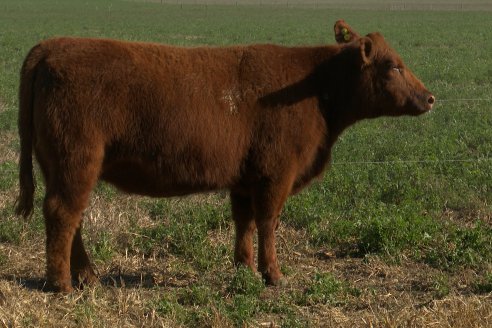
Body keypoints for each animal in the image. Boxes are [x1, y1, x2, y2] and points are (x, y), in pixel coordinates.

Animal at [15, 20, 434, 292]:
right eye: (393, 66)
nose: (430, 97)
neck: (315, 88)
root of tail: (51, 46)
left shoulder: (245, 178)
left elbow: (244, 221)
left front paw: (243, 268)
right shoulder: (275, 172)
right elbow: (268, 221)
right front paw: (273, 275)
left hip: (62, 166)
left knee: (72, 217)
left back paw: (87, 277)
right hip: (76, 161)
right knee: (63, 214)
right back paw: (62, 283)